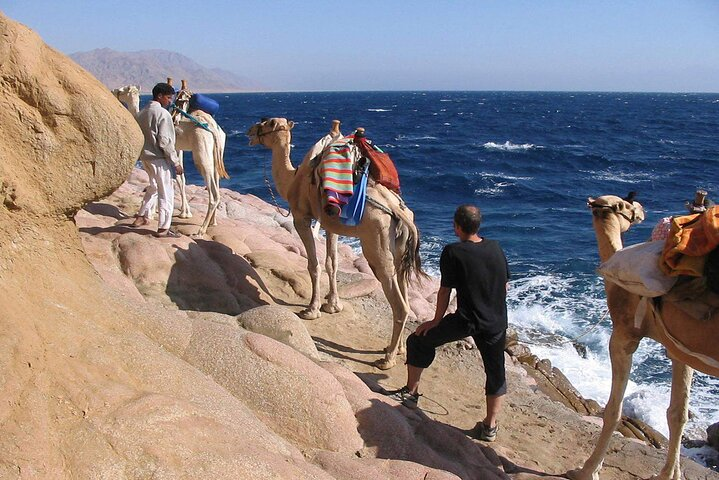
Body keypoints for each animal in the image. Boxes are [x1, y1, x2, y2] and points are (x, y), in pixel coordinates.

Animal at [247, 118, 426, 369]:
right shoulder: (331, 223)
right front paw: (332, 306)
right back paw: (397, 349)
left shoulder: (301, 218)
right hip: (399, 249)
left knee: (399, 302)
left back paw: (387, 359)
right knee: (405, 292)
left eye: (269, 123)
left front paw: (311, 310)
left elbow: (313, 265)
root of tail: (401, 213)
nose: (251, 131)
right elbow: (332, 263)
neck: (293, 179)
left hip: (377, 244)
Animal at [568, 194, 719, 480]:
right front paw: (670, 474)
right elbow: (677, 413)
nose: (640, 209)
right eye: (626, 204)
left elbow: (613, 410)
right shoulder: (680, 352)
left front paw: (587, 469)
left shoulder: (623, 336)